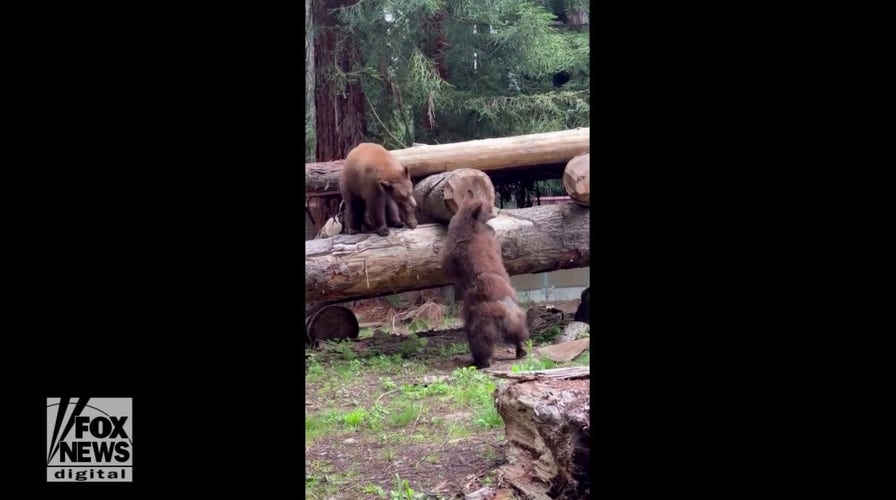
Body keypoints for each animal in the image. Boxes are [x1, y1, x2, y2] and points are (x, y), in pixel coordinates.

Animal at [439, 198, 529, 369]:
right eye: (489, 206)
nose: (498, 210)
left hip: (478, 319)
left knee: (480, 340)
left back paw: (482, 360)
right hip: (506, 314)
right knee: (516, 330)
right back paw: (519, 350)